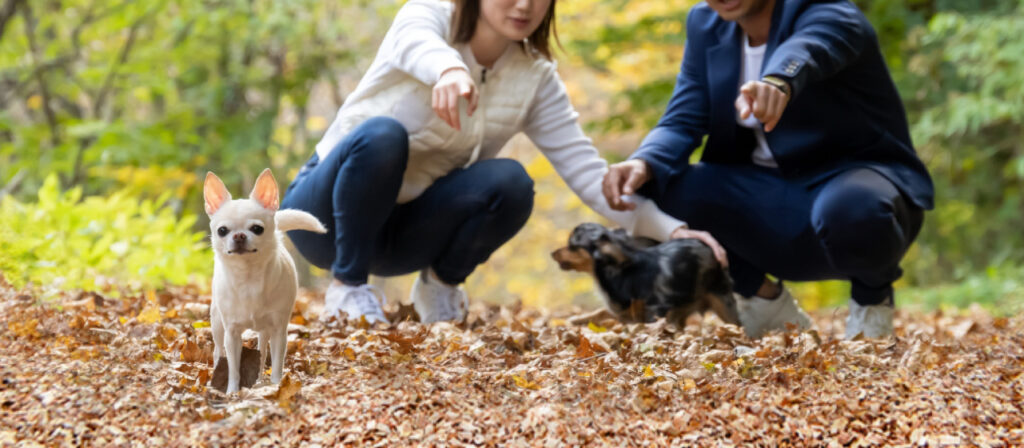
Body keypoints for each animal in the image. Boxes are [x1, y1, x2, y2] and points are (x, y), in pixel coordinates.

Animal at [201, 167, 321, 392]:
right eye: (222, 231)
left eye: (257, 229)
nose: (239, 236)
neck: (249, 278)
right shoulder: (232, 333)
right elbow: (234, 367)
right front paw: (232, 391)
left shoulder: (279, 331)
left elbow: (276, 363)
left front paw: (276, 386)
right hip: (217, 324)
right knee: (218, 351)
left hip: (265, 331)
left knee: (263, 351)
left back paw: (259, 380)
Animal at [557, 222, 741, 325]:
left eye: (571, 245)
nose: (553, 253)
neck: (619, 272)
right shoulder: (625, 313)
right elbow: (602, 312)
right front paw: (577, 320)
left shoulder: (654, 311)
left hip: (722, 302)